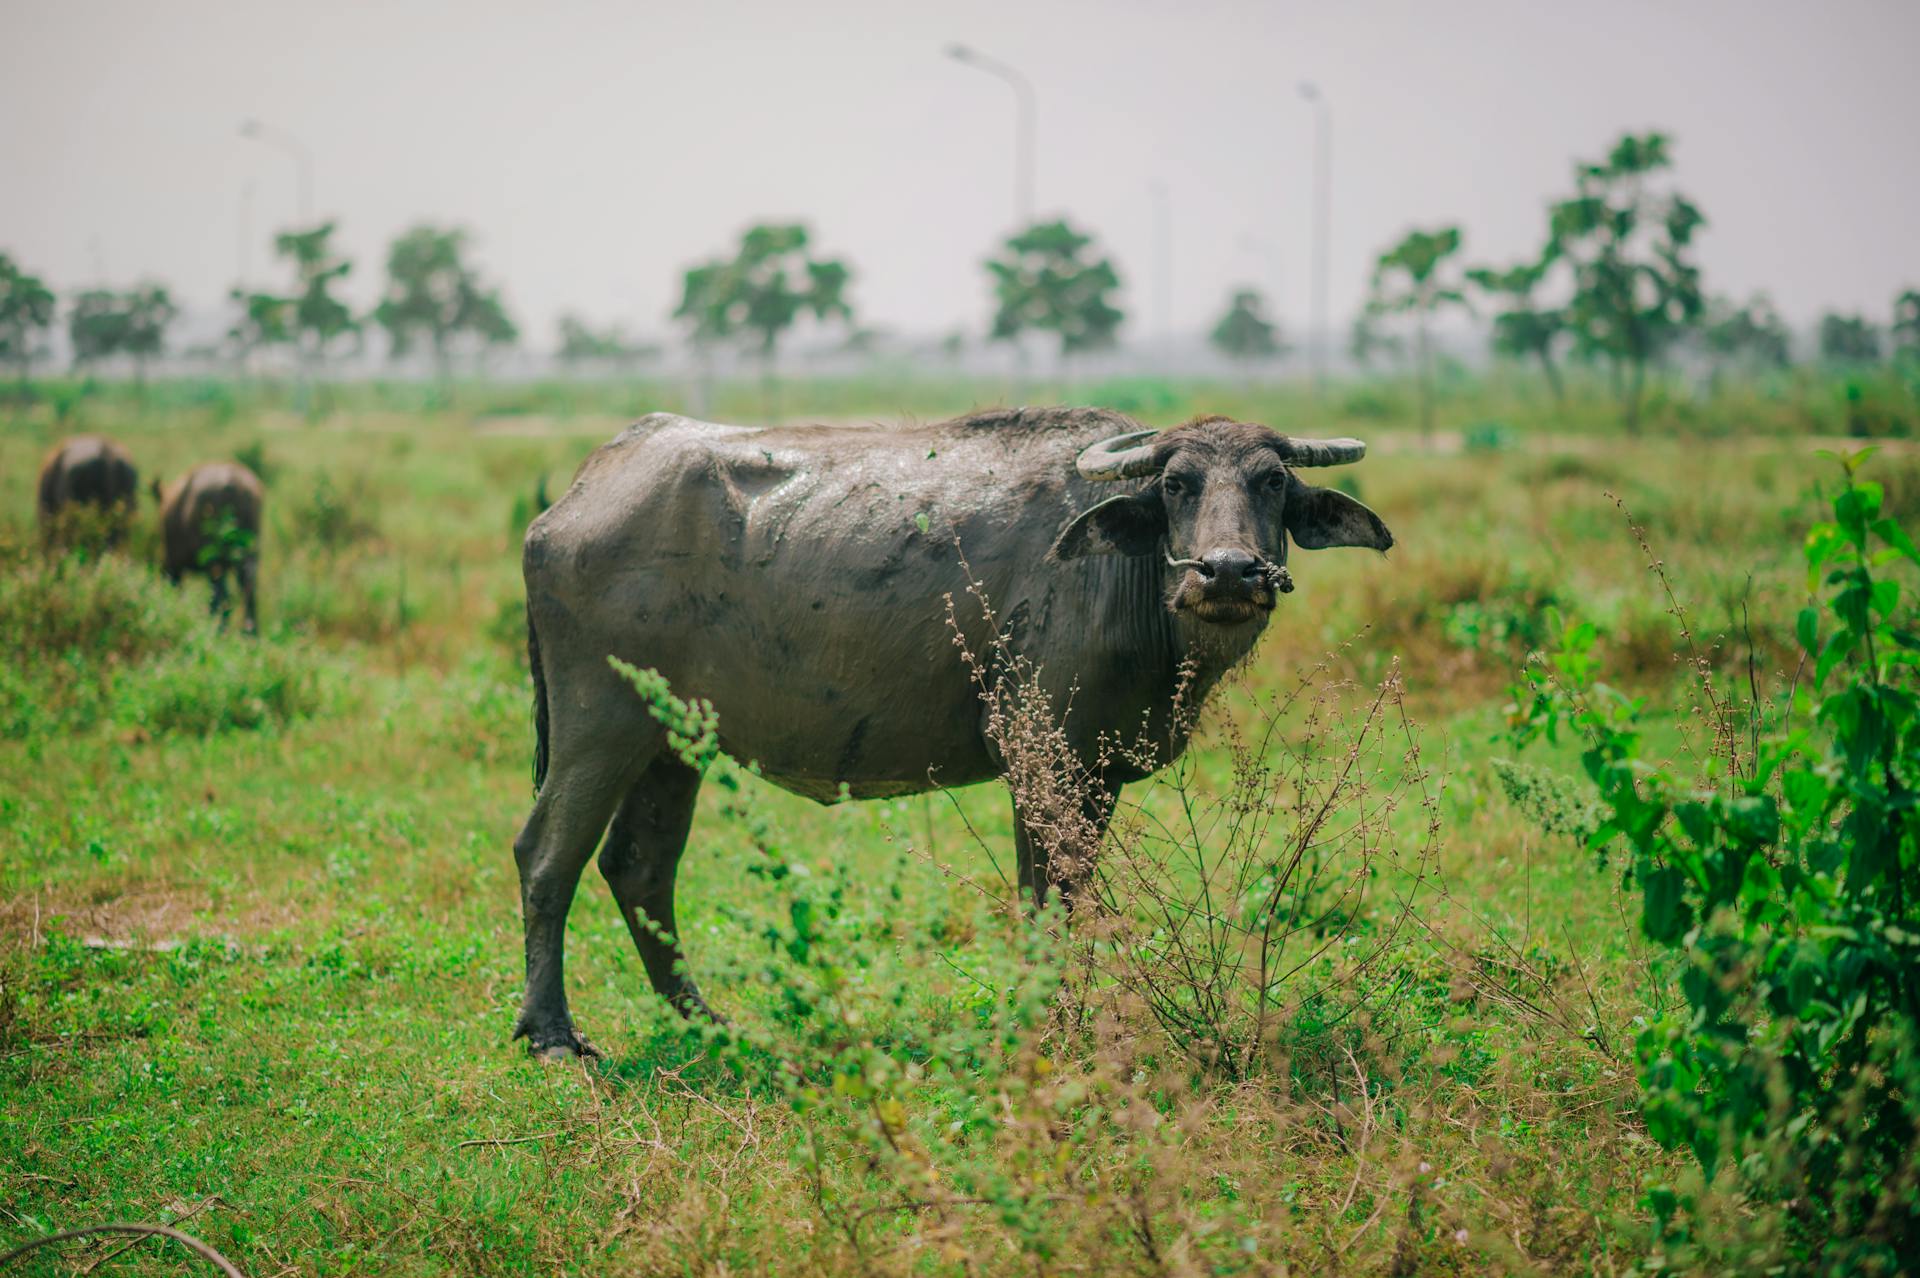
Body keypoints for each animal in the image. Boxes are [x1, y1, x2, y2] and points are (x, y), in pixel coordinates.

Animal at [157, 460, 264, 633]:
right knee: (248, 591)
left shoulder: (174, 566)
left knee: (222, 597)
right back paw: (249, 632)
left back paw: (218, 630)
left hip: (214, 560)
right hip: (248, 553)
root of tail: (233, 482)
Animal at [510, 402, 1397, 1051]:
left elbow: (1072, 897)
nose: (1229, 572)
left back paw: (707, 1021)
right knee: (547, 856)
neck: (1122, 579)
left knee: (639, 866)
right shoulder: (1039, 757)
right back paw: (552, 1034)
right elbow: (1044, 901)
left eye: (1272, 482)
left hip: (673, 744)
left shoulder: (1095, 776)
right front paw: (1047, 1027)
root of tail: (571, 501)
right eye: (1176, 484)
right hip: (600, 726)